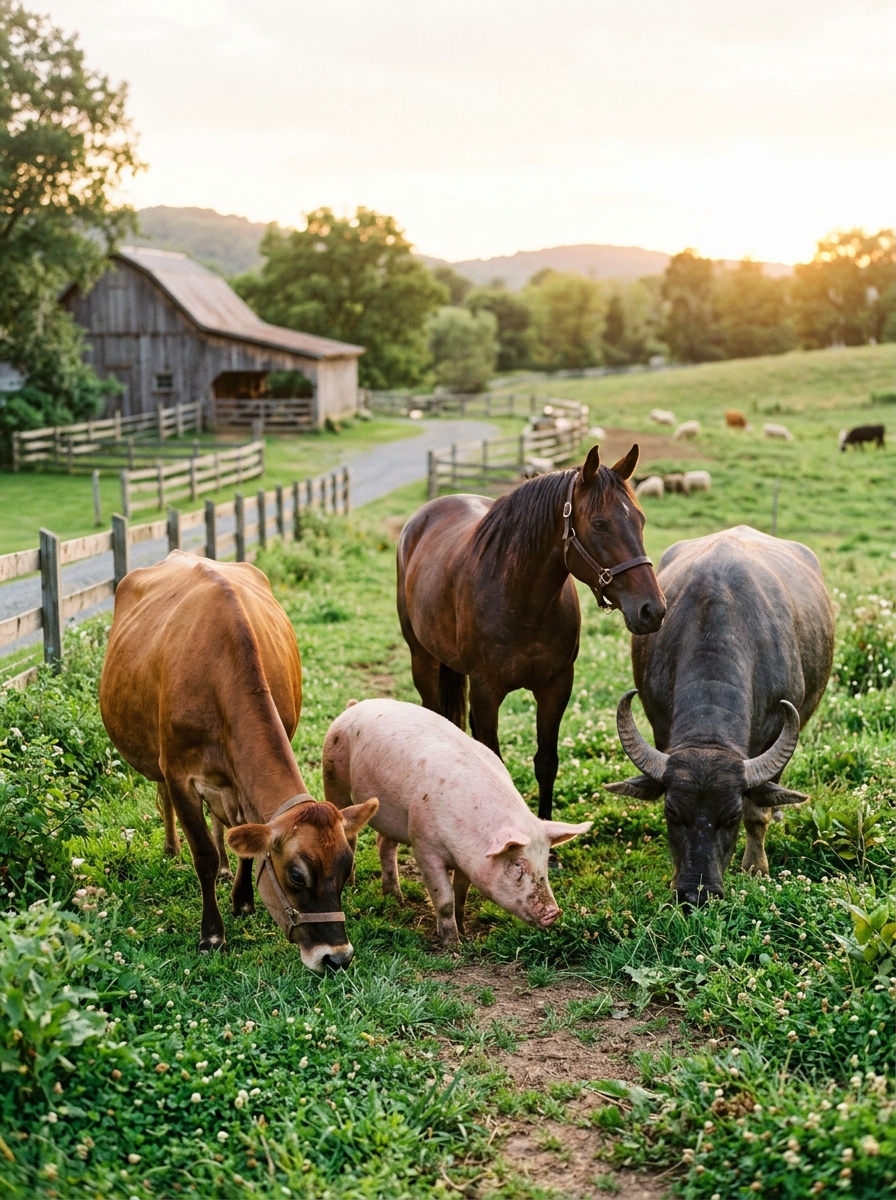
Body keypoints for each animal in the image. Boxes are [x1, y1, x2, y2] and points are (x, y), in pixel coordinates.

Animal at [322, 699, 591, 945]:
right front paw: (452, 945)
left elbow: (461, 892)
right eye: (517, 864)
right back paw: (352, 887)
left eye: (545, 862)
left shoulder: (468, 860)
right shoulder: (424, 845)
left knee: (384, 844)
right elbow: (444, 897)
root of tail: (355, 705)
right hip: (333, 776)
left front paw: (464, 932)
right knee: (350, 834)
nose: (554, 912)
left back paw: (396, 899)